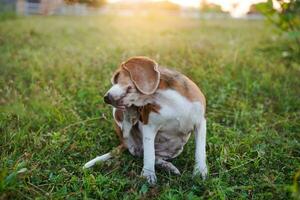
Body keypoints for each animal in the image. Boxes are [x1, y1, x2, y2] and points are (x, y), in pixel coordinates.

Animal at [83, 56, 207, 184]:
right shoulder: (149, 127)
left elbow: (200, 151)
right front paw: (148, 174)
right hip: (118, 117)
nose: (105, 98)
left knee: (156, 157)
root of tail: (125, 144)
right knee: (143, 151)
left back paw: (168, 166)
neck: (163, 97)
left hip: (177, 149)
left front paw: (200, 171)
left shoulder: (201, 123)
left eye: (117, 77)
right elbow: (149, 154)